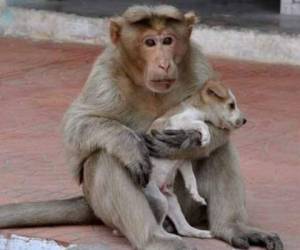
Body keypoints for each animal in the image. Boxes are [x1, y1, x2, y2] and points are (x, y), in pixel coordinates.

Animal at [0, 5, 284, 250]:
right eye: (150, 43)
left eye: (168, 40)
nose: (164, 63)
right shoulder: (105, 72)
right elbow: (78, 125)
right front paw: (131, 144)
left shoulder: (200, 64)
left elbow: (219, 133)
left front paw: (185, 143)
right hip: (116, 204)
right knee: (106, 157)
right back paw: (154, 238)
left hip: (184, 204)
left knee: (218, 150)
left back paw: (230, 228)